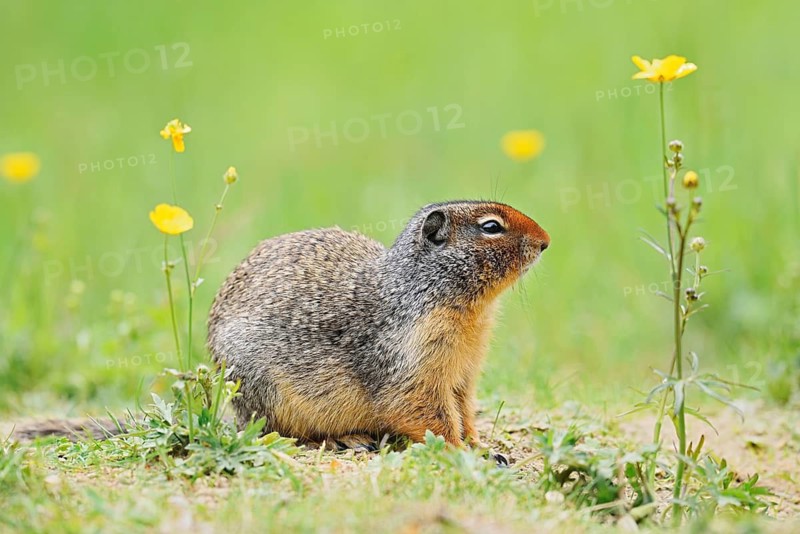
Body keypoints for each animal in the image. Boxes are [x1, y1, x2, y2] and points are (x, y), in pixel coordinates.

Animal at [206, 200, 549, 449]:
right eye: (491, 226)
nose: (546, 241)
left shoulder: (465, 373)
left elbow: (464, 409)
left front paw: (479, 445)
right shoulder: (415, 362)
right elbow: (425, 411)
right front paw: (460, 450)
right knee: (274, 432)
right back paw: (346, 438)